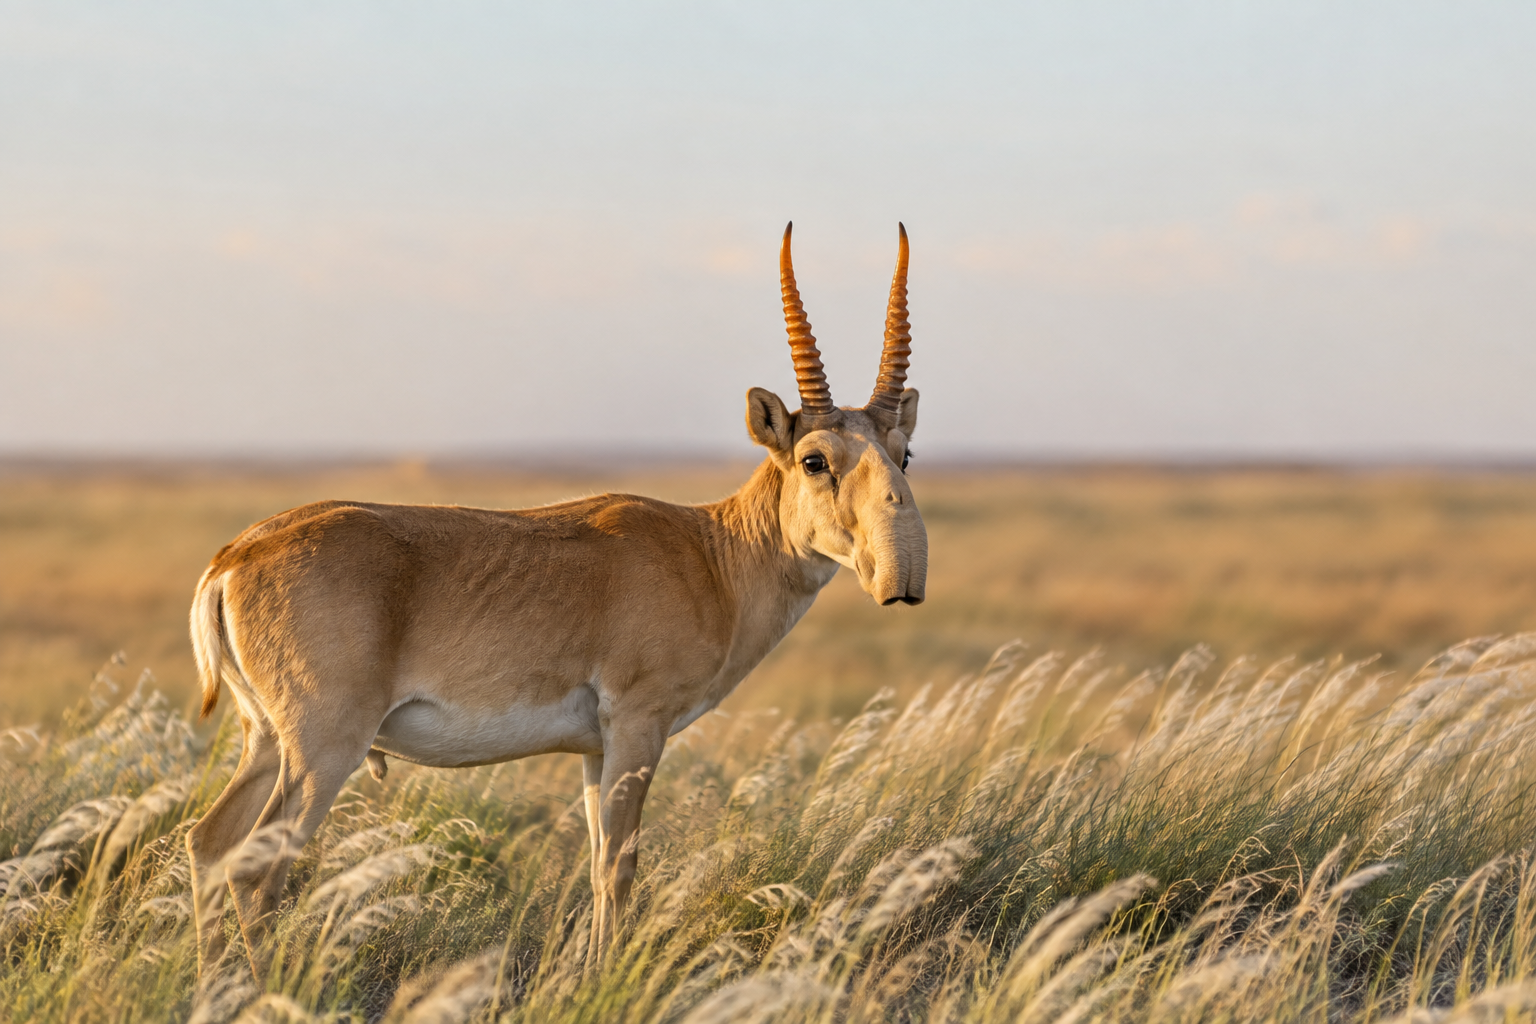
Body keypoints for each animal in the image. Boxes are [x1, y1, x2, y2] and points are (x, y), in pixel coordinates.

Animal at [186, 223, 927, 978]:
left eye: (904, 453)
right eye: (815, 459)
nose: (897, 580)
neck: (712, 552)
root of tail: (237, 556)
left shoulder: (596, 749)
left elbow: (600, 863)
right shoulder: (637, 726)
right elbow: (621, 865)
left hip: (266, 739)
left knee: (209, 842)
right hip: (324, 745)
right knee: (256, 868)